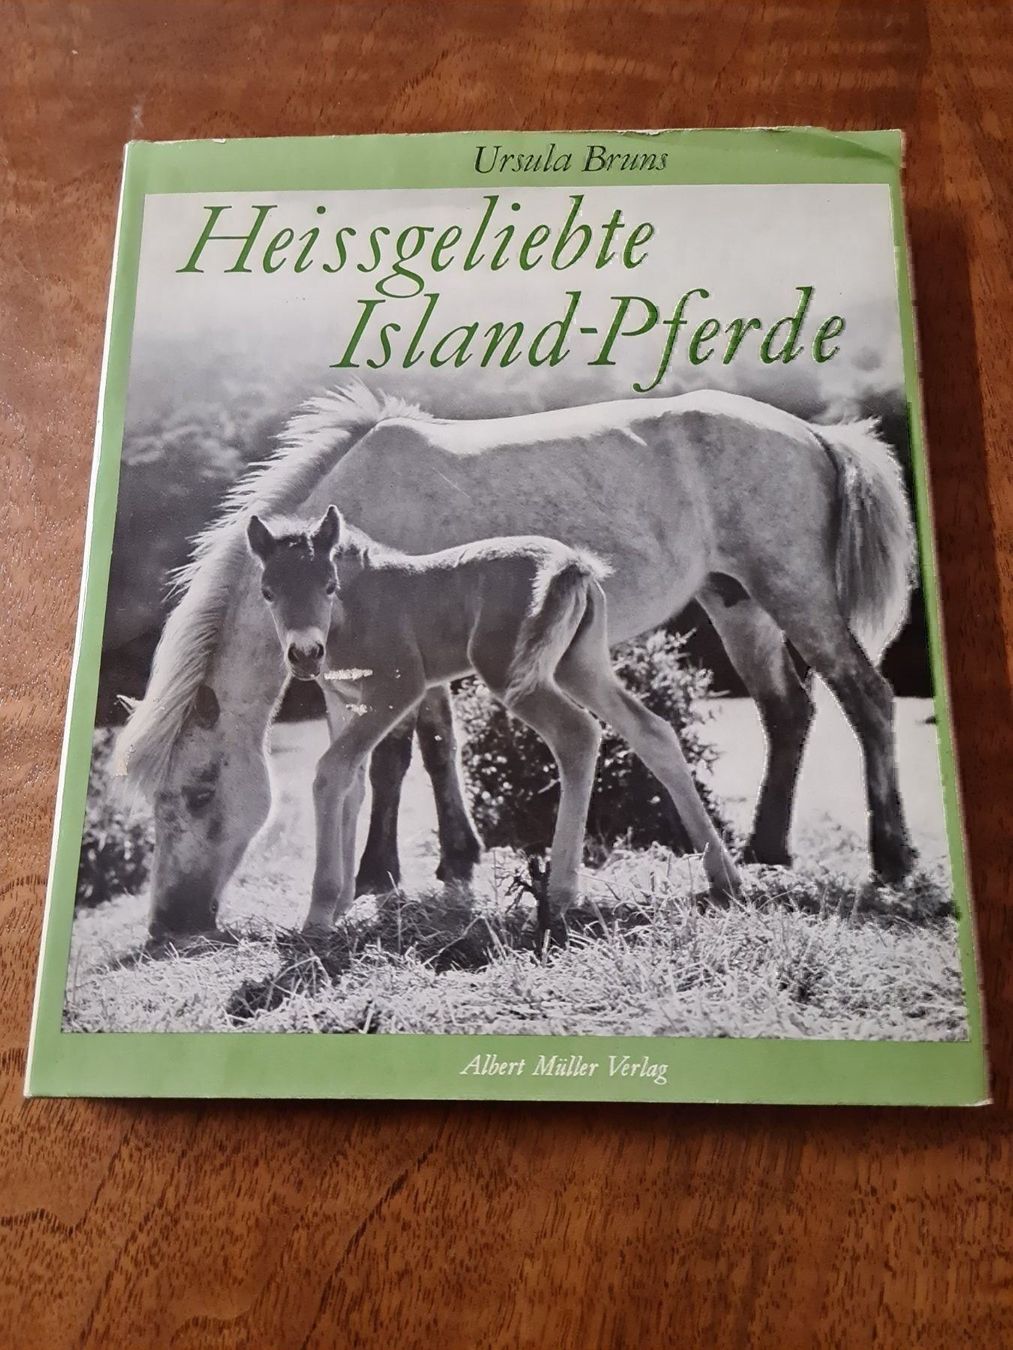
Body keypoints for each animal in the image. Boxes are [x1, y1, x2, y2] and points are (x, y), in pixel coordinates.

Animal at [244, 505, 741, 933]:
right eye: (268, 593)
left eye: (329, 586)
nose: (305, 654)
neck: (352, 613)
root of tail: (571, 562)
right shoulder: (341, 701)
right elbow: (353, 782)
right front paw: (344, 901)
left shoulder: (398, 688)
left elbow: (331, 771)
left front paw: (321, 912)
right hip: (580, 665)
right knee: (651, 730)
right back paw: (724, 875)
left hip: (511, 672)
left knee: (577, 734)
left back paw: (560, 894)